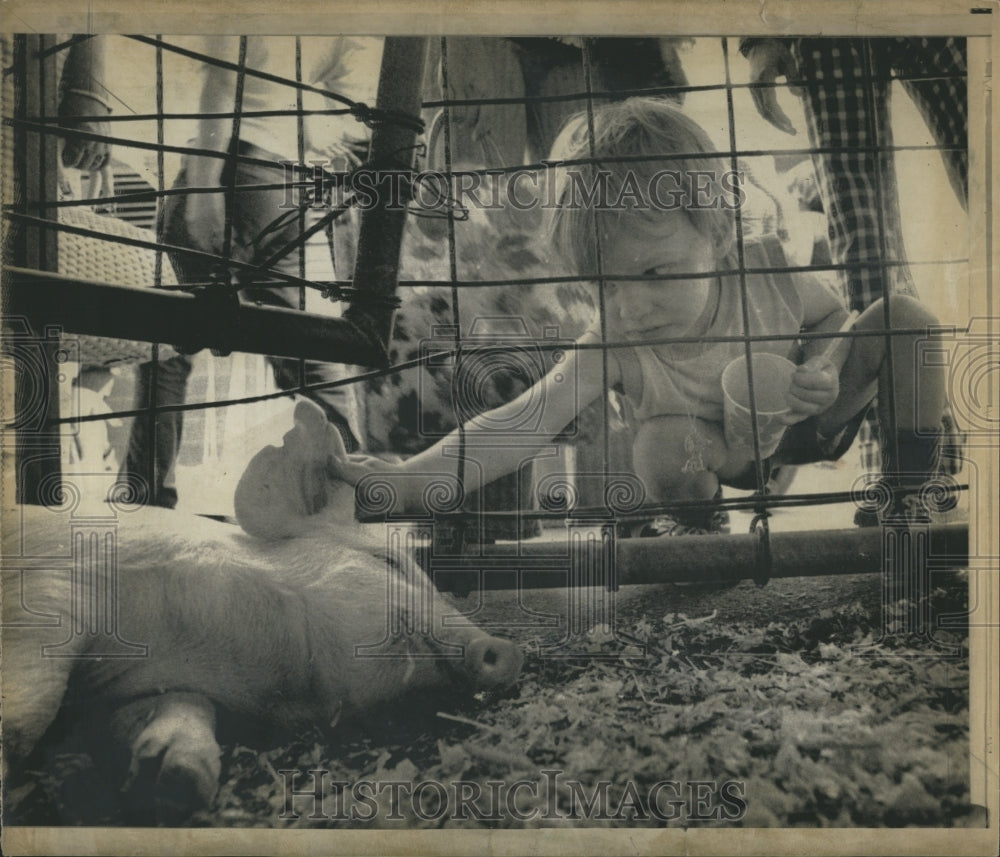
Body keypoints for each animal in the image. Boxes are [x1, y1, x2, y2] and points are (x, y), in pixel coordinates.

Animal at [2, 502, 523, 821]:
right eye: (388, 562)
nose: (508, 649)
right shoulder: (50, 588)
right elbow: (26, 714)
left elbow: (175, 708)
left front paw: (173, 779)